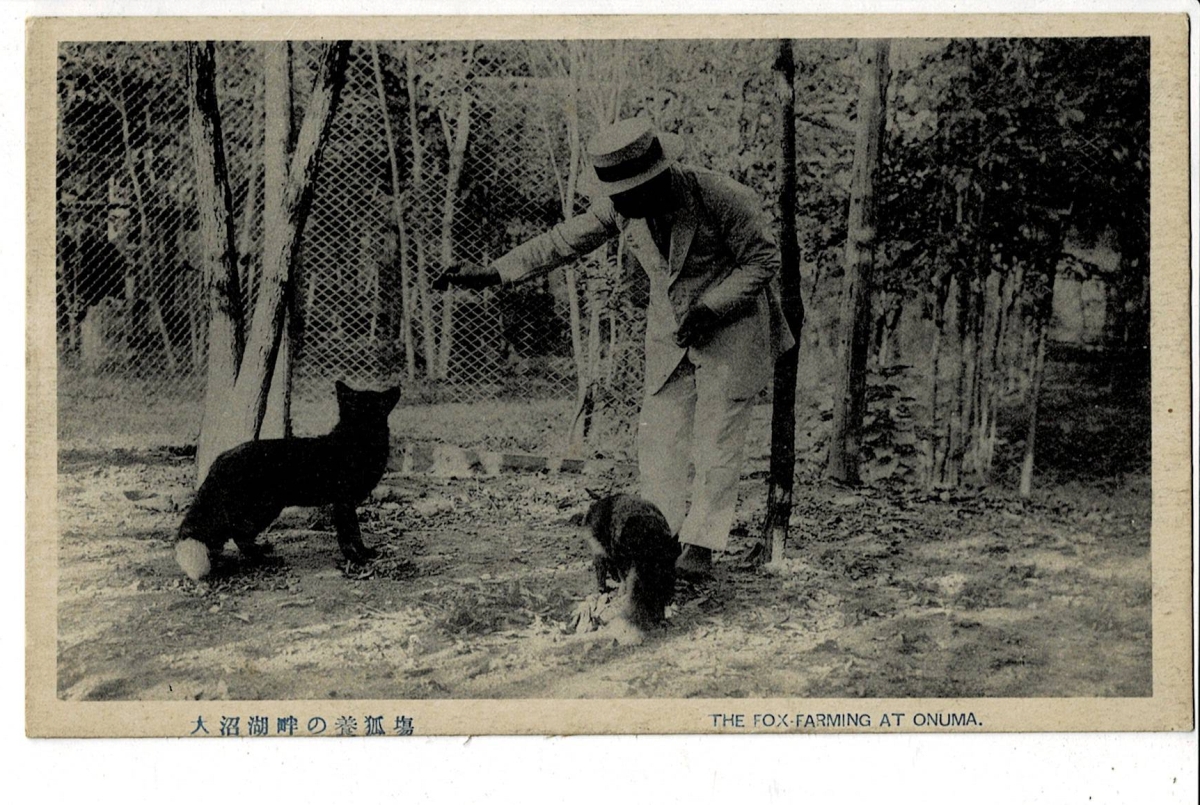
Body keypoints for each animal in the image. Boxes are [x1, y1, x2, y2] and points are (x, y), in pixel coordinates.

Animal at [175, 381, 403, 583]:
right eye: (380, 400)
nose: (397, 388)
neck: (356, 441)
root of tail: (221, 458)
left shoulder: (345, 504)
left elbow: (355, 534)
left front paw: (364, 552)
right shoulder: (343, 503)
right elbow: (349, 534)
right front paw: (356, 558)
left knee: (230, 535)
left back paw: (254, 553)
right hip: (264, 509)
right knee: (237, 533)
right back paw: (264, 559)